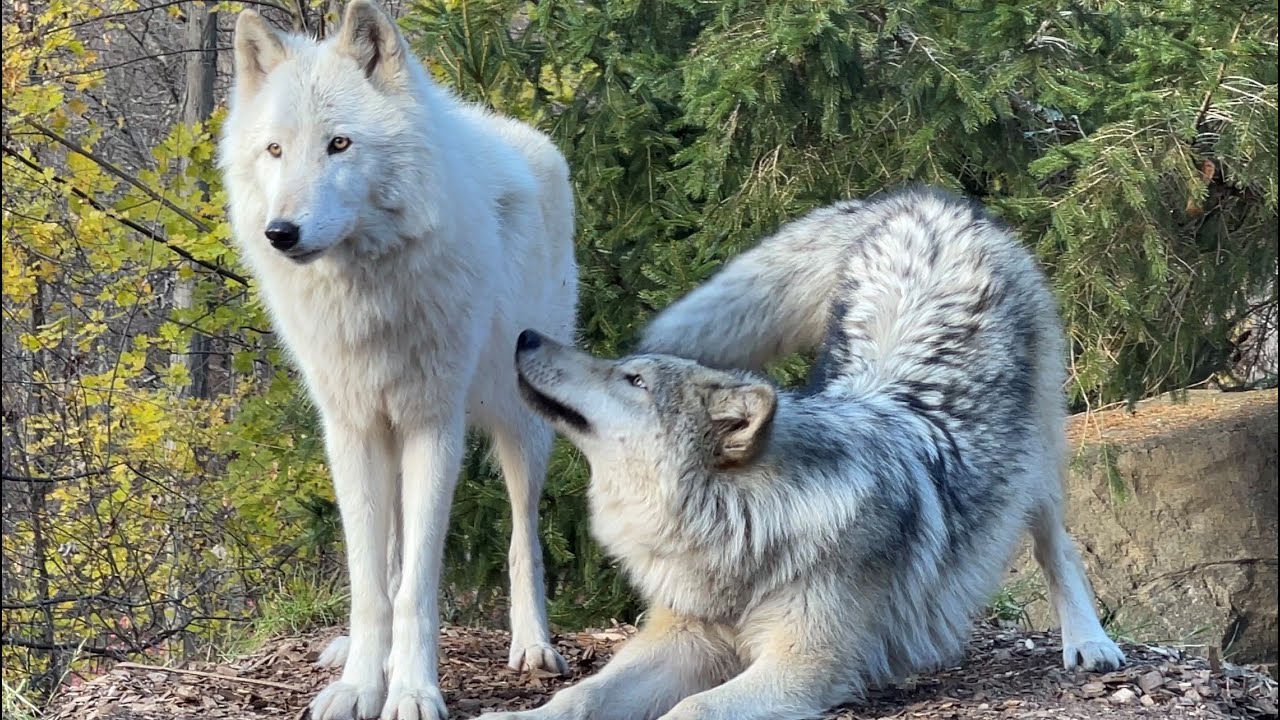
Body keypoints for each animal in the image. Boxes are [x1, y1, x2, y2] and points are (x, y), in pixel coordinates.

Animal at [218, 2, 577, 718]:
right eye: (275, 150)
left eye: (339, 144)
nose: (280, 233)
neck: (365, 295)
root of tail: (532, 138)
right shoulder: (352, 427)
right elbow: (370, 582)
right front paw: (362, 684)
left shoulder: (432, 426)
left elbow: (417, 588)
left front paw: (411, 690)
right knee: (386, 554)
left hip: (519, 423)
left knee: (523, 535)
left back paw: (532, 646)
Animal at [487, 187, 1124, 720]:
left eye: (633, 378)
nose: (525, 336)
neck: (745, 526)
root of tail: (927, 204)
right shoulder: (682, 638)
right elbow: (580, 695)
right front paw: (516, 717)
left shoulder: (804, 665)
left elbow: (692, 708)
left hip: (1036, 465)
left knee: (1058, 547)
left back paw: (1089, 642)